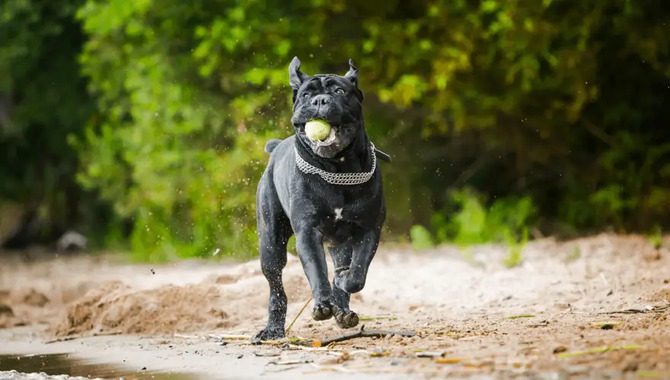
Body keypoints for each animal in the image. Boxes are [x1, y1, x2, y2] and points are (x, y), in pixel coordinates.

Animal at [253, 56, 388, 342]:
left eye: (339, 91)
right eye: (306, 95)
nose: (320, 101)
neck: (337, 170)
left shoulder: (368, 230)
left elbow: (357, 273)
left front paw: (342, 285)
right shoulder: (308, 231)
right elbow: (316, 269)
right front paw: (323, 305)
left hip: (339, 245)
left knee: (342, 269)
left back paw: (343, 311)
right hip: (270, 245)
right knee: (276, 288)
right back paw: (273, 329)